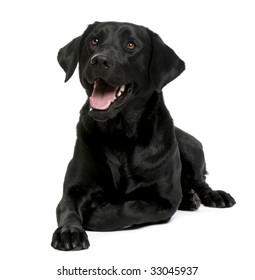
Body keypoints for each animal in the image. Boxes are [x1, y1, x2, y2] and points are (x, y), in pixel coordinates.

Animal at [50, 20, 236, 250]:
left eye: (131, 45)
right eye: (93, 41)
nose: (99, 60)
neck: (121, 135)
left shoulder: (165, 200)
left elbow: (131, 208)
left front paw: (98, 214)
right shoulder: (74, 189)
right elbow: (67, 208)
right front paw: (69, 231)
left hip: (190, 145)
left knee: (200, 181)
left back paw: (213, 196)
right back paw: (189, 199)